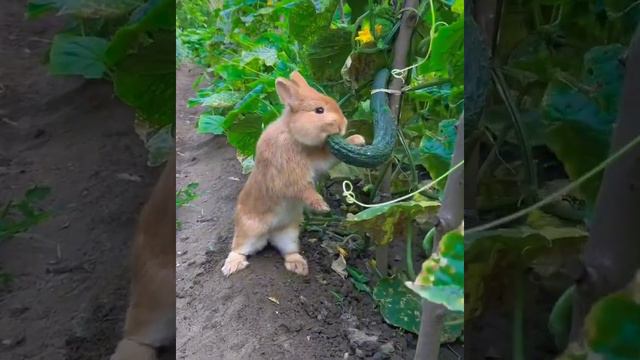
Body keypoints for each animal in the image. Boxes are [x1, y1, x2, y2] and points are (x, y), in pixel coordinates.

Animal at [222, 71, 364, 278]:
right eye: (319, 110)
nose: (342, 125)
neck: (292, 134)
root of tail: (270, 233)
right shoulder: (289, 175)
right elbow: (304, 189)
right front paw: (322, 207)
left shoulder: (317, 162)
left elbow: (329, 158)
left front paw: (357, 139)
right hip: (249, 231)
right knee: (239, 248)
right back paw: (232, 266)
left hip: (289, 234)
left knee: (289, 251)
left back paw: (299, 267)